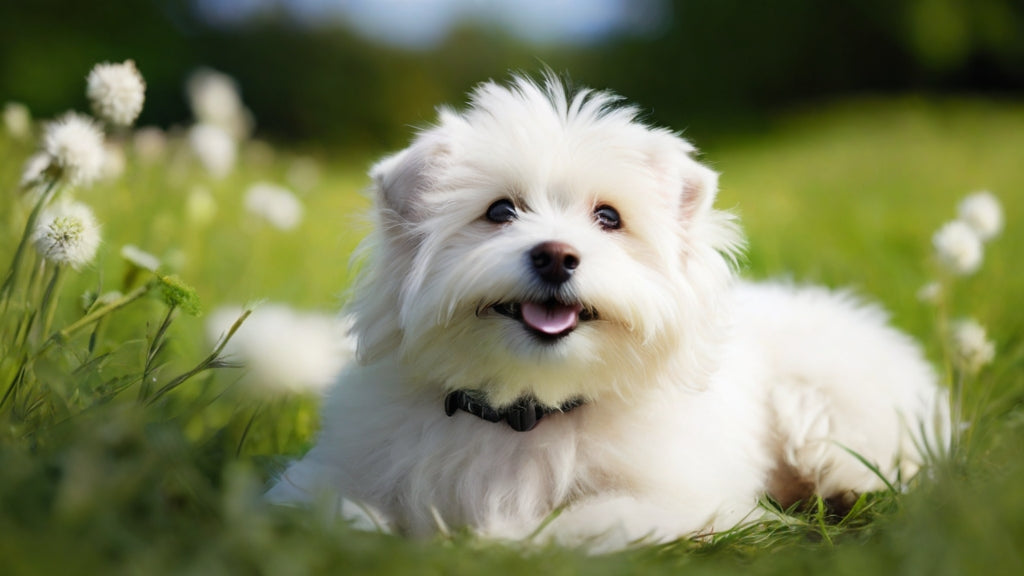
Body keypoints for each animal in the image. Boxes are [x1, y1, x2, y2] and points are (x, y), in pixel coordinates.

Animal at [266, 72, 950, 545]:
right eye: (499, 211)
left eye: (609, 217)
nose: (556, 256)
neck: (530, 405)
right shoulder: (337, 469)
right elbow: (326, 507)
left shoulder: (674, 498)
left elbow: (580, 523)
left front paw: (500, 541)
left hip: (825, 405)